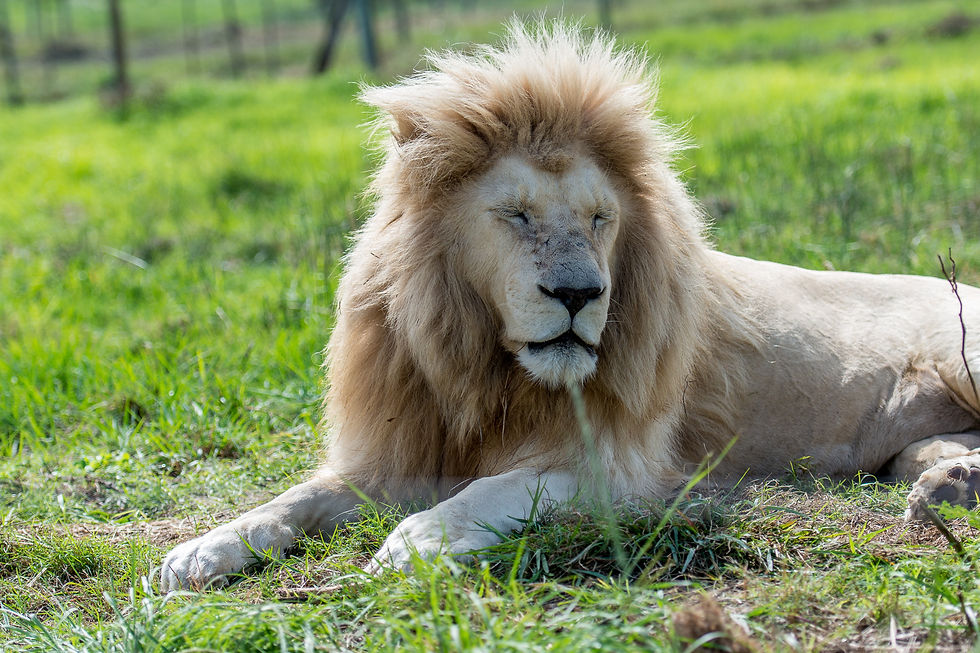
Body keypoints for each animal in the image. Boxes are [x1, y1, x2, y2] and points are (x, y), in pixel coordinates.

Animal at [161, 23, 980, 591]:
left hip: (960, 350)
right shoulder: (400, 449)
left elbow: (499, 486)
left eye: (599, 219)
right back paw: (945, 486)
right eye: (517, 215)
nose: (581, 293)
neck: (489, 372)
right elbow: (293, 499)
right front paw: (199, 550)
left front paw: (419, 541)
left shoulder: (619, 469)